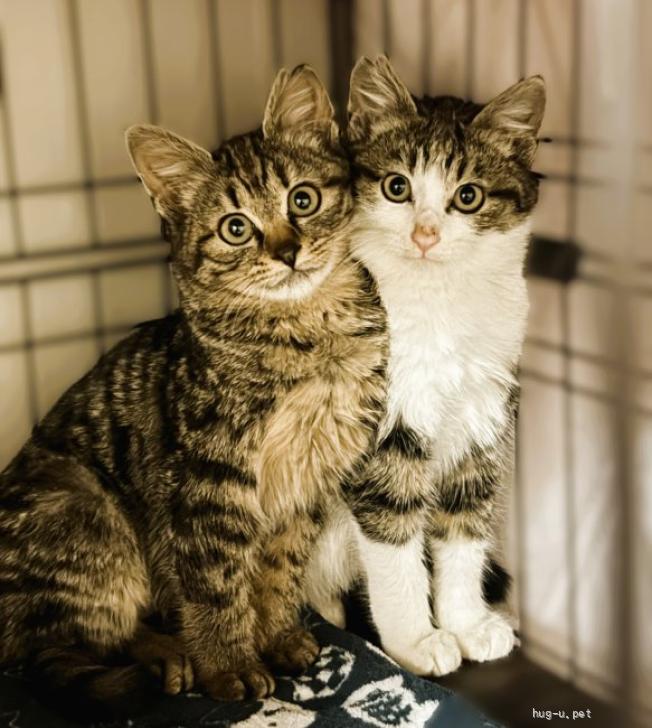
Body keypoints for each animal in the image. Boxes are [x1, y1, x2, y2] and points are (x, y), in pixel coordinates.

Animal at [0, 65, 387, 709]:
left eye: (302, 199)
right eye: (236, 228)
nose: (288, 251)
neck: (306, 335)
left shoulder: (306, 482)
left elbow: (280, 571)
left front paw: (276, 635)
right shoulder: (206, 486)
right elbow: (215, 587)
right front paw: (229, 667)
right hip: (85, 508)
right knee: (60, 645)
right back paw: (169, 656)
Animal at [306, 56, 545, 677]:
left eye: (468, 196)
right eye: (397, 188)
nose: (424, 233)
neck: (440, 304)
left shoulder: (485, 415)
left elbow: (463, 530)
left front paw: (468, 625)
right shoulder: (381, 429)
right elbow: (395, 544)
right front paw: (415, 641)